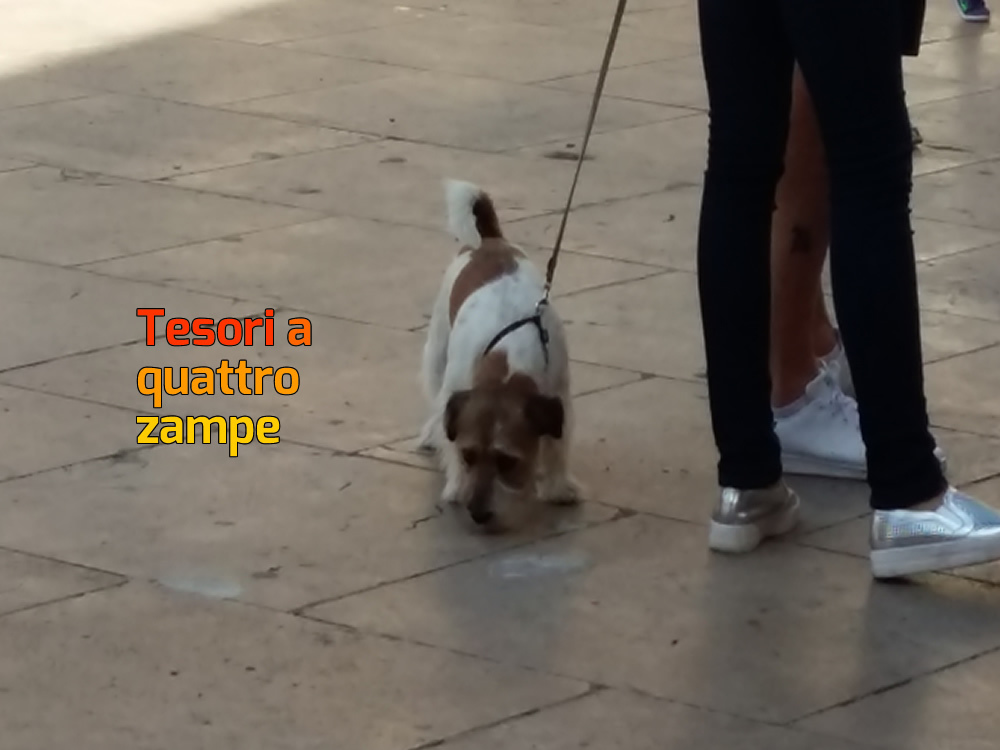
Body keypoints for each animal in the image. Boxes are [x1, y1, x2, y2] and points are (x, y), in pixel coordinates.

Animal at [418, 179, 584, 532]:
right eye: (468, 456)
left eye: (508, 461)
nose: (477, 514)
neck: (508, 358)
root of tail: (490, 240)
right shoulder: (455, 390)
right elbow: (448, 428)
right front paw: (456, 484)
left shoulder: (560, 393)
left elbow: (557, 446)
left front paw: (558, 486)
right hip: (438, 351)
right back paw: (431, 431)